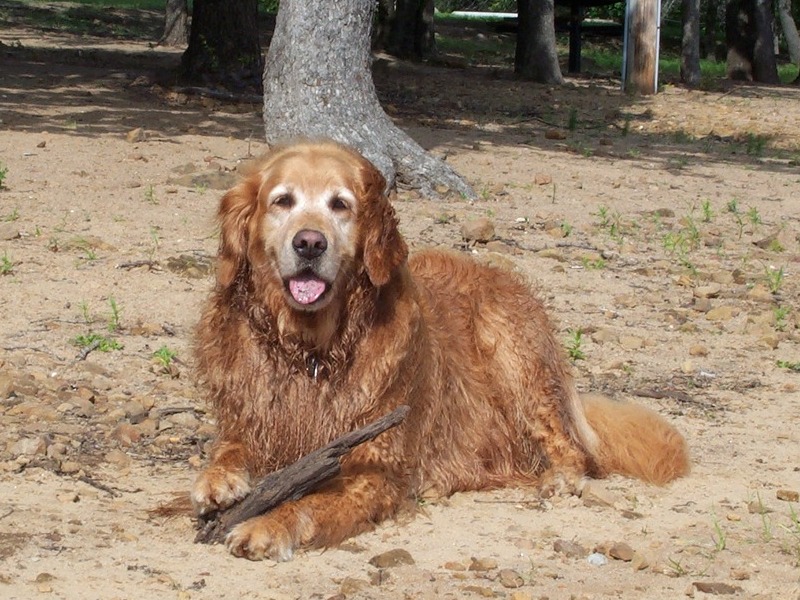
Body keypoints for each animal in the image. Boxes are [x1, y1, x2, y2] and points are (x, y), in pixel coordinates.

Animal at [192, 138, 688, 560]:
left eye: (340, 205)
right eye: (282, 201)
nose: (310, 243)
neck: (310, 349)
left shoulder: (373, 468)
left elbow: (308, 503)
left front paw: (267, 526)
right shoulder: (248, 420)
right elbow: (228, 450)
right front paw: (217, 481)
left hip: (513, 356)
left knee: (572, 449)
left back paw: (559, 478)